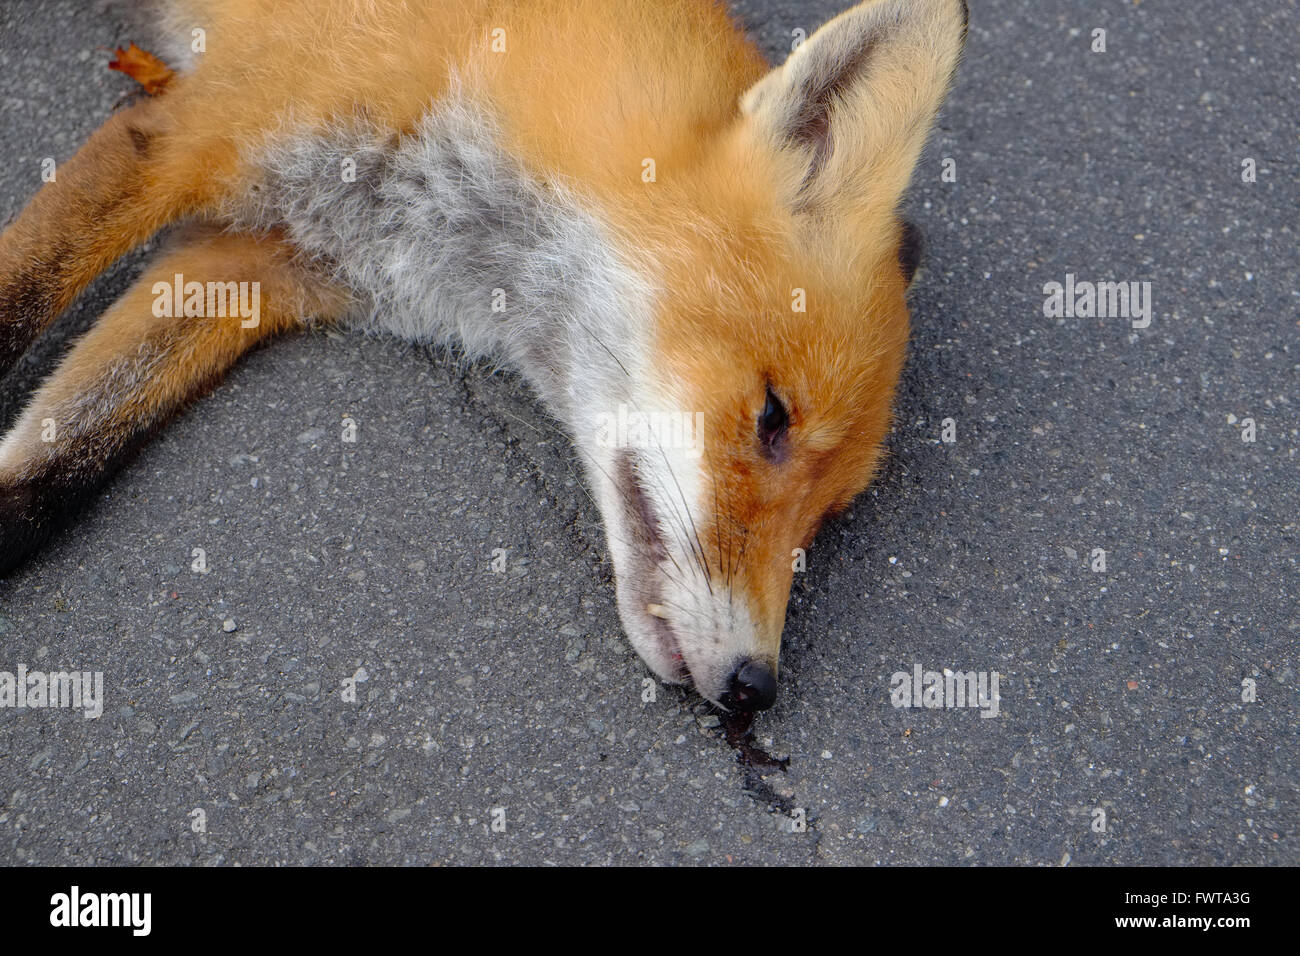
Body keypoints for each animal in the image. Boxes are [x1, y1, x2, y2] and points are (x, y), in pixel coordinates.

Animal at [0, 0, 967, 712]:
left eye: (828, 515)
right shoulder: (183, 131)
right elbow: (23, 297)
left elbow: (50, 473)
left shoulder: (251, 265)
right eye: (771, 417)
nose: (755, 689)